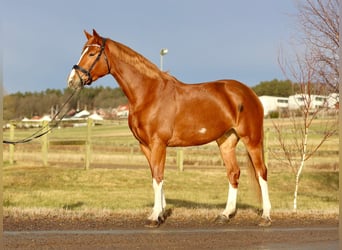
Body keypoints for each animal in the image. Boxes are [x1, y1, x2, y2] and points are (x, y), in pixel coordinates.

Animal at [69, 29, 272, 229]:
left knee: (261, 172)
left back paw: (266, 216)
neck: (148, 94)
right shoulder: (146, 146)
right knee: (233, 172)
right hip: (226, 141)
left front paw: (154, 217)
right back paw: (225, 214)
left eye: (92, 53)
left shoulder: (158, 143)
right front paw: (160, 213)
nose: (72, 81)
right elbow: (155, 176)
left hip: (252, 139)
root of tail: (249, 93)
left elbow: (158, 177)